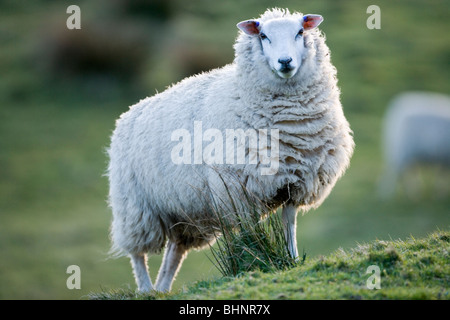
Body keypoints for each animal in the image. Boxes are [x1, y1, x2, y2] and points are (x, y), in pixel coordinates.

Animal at [106, 8, 356, 292]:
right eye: (263, 36)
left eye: (300, 32)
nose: (285, 62)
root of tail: (127, 113)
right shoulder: (239, 190)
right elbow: (251, 234)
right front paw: (256, 258)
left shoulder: (295, 183)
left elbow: (288, 225)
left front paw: (291, 260)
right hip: (136, 206)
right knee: (137, 253)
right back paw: (147, 289)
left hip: (185, 212)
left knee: (174, 252)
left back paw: (162, 289)